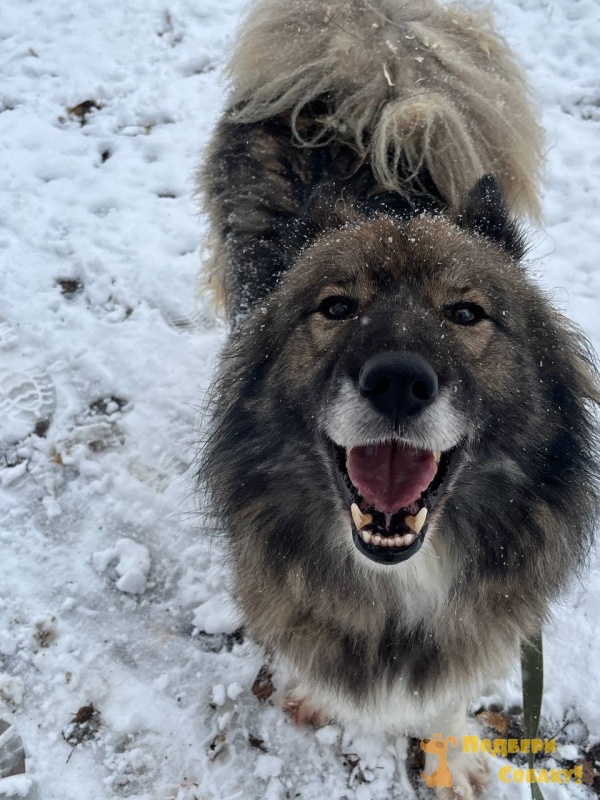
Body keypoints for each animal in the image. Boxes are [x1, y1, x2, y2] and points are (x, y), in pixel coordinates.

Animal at [197, 1, 600, 797]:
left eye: (466, 313)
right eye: (336, 307)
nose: (398, 382)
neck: (401, 579)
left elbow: (443, 693)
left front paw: (448, 753)